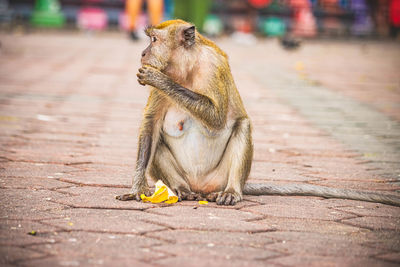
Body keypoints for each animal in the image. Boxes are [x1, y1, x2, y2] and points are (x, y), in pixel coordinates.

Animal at [117, 19, 400, 208]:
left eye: (154, 40)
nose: (143, 53)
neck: (187, 68)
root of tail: (204, 187)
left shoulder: (213, 69)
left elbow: (217, 118)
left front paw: (158, 79)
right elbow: (151, 127)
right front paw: (137, 188)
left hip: (222, 177)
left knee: (243, 126)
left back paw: (231, 191)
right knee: (158, 143)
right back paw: (182, 190)